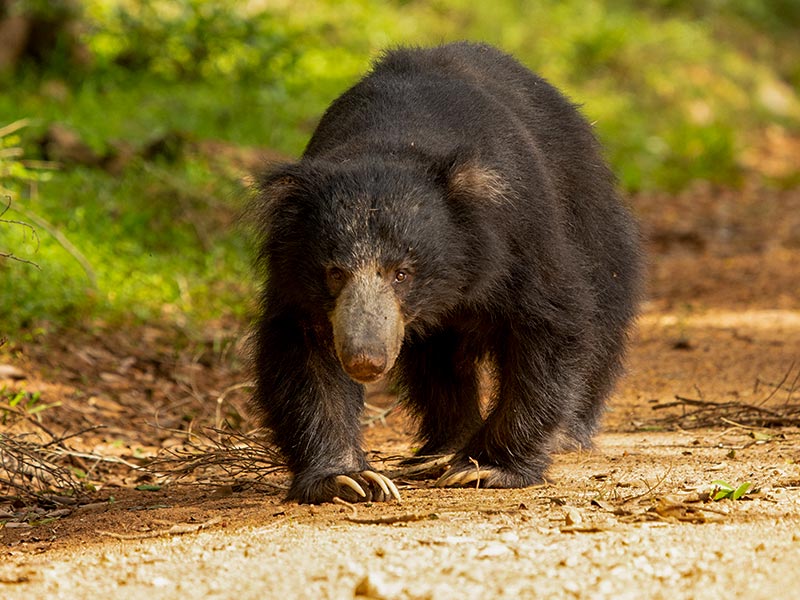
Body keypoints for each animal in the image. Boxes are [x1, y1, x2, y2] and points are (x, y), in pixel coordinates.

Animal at [251, 41, 643, 504]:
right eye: (334, 273)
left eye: (401, 274)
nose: (365, 359)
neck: (393, 144)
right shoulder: (295, 277)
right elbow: (302, 350)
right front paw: (349, 479)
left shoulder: (516, 233)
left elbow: (548, 324)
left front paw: (486, 468)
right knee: (436, 363)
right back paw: (441, 450)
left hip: (590, 215)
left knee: (606, 306)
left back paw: (565, 434)